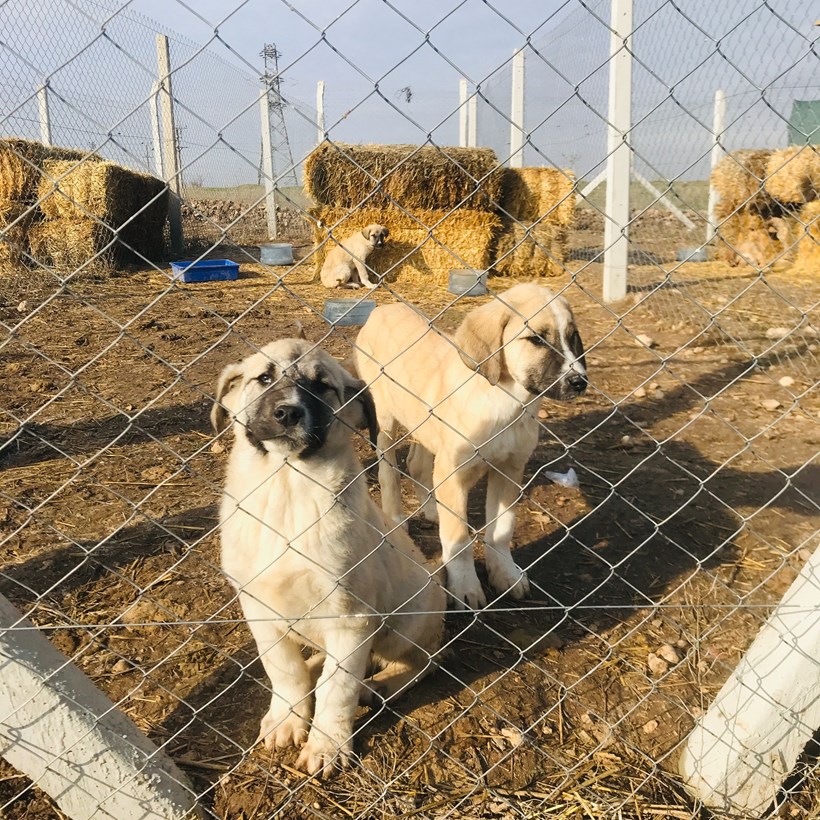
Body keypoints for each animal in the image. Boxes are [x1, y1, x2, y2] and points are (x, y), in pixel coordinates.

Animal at [208, 340, 446, 776]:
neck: (286, 490)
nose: (288, 413)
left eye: (322, 386)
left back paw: (382, 684)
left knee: (425, 661)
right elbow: (284, 669)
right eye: (264, 378)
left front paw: (328, 744)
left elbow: (338, 688)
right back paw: (316, 664)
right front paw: (287, 717)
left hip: (404, 623)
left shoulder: (351, 618)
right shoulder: (259, 609)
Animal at [356, 286, 588, 612]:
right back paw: (396, 518)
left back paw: (431, 508)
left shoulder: (509, 470)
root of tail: (383, 309)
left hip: (424, 425)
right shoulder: (454, 472)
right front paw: (465, 586)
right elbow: (458, 539)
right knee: (389, 471)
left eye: (572, 336)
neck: (506, 401)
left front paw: (505, 573)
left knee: (417, 464)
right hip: (386, 420)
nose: (580, 382)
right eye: (536, 339)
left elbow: (502, 530)